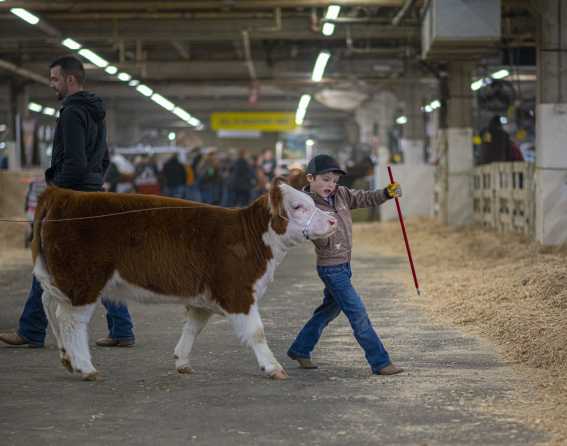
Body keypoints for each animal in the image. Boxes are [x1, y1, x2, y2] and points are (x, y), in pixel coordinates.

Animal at [32, 178, 338, 380]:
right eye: (298, 207)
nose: (333, 221)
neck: (252, 238)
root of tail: (62, 194)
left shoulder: (204, 297)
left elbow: (192, 327)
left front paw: (181, 361)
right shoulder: (237, 292)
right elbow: (256, 332)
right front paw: (273, 367)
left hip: (63, 279)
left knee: (49, 303)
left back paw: (67, 357)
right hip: (84, 280)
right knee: (70, 320)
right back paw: (85, 366)